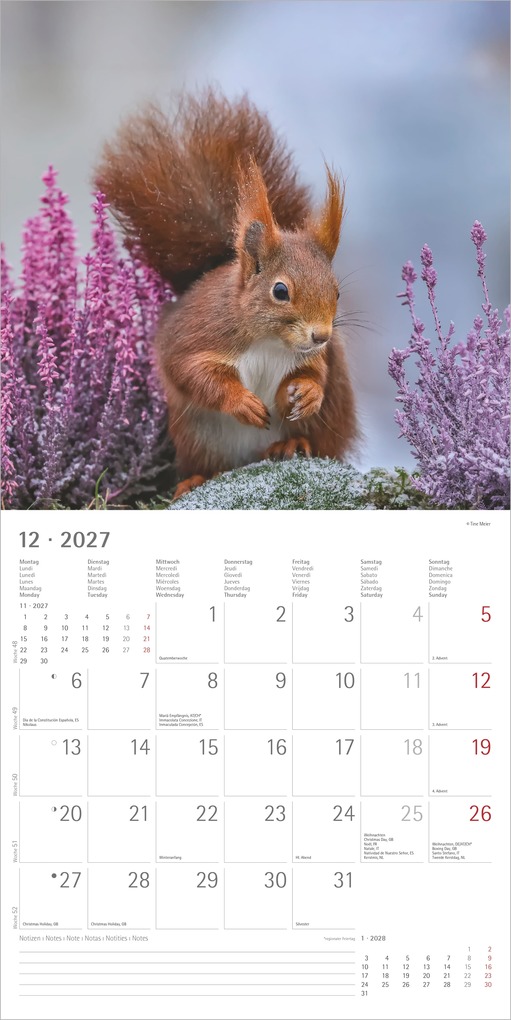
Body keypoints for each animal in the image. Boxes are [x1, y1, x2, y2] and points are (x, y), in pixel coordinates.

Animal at [95, 89, 358, 499]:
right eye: (280, 290)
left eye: (338, 292)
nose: (321, 335)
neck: (270, 341)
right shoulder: (197, 335)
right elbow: (192, 372)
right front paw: (243, 403)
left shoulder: (314, 357)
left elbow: (316, 372)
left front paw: (305, 393)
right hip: (197, 437)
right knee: (208, 464)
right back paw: (196, 479)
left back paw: (292, 443)